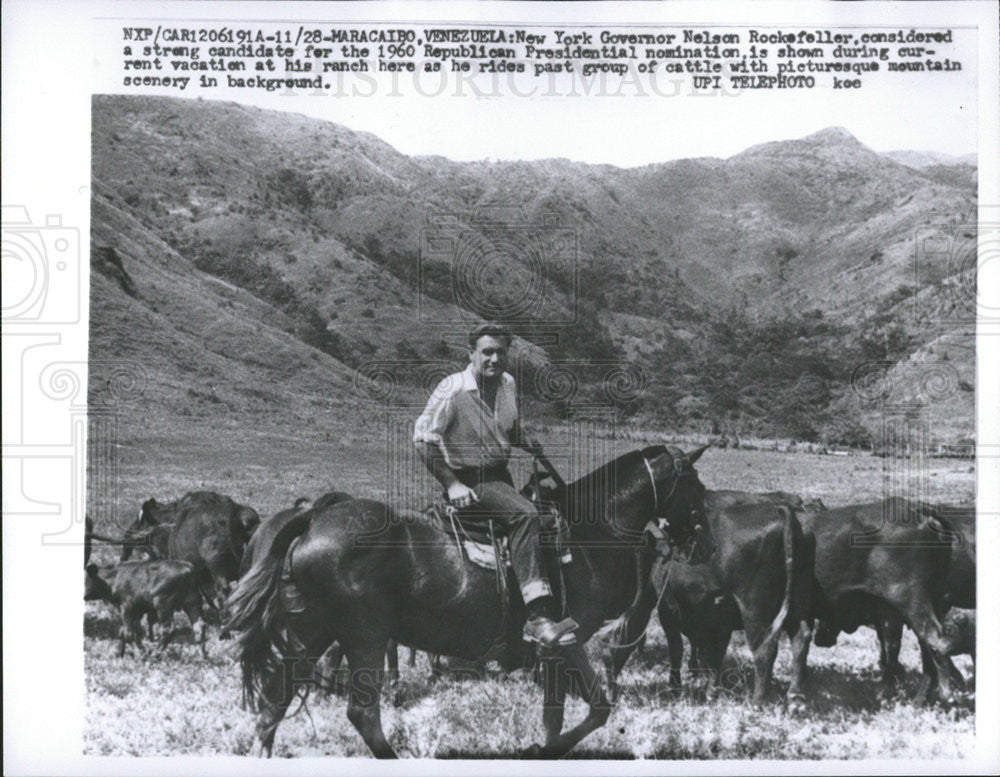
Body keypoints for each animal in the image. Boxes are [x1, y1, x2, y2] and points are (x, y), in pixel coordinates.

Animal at [227, 446, 712, 756]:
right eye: (694, 484)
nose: (701, 537)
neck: (590, 533)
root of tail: (313, 518)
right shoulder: (566, 640)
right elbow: (593, 709)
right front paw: (543, 750)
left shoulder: (556, 651)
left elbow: (570, 712)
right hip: (363, 637)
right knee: (362, 713)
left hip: (309, 633)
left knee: (273, 704)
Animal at [600, 492, 812, 708]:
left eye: (607, 655)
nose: (609, 696)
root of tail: (780, 511)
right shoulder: (717, 619)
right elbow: (713, 654)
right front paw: (707, 686)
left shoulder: (668, 611)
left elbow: (677, 649)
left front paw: (675, 687)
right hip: (797, 603)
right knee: (801, 640)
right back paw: (795, 697)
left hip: (755, 609)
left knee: (765, 649)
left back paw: (757, 702)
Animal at [800, 498, 956, 704]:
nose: (821, 637)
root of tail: (918, 511)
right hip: (930, 602)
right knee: (924, 648)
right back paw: (919, 699)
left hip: (911, 601)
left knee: (934, 641)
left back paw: (943, 695)